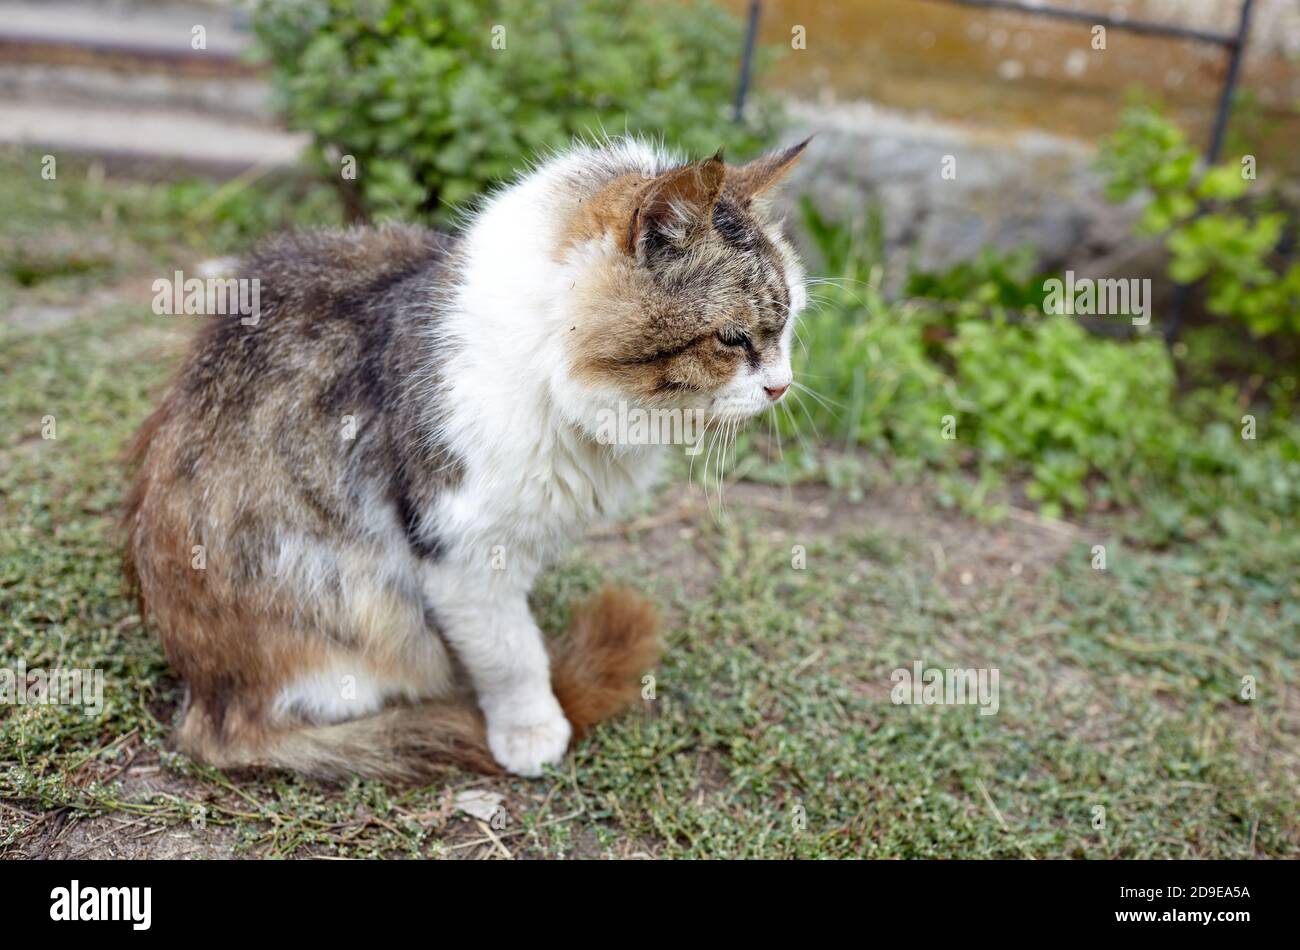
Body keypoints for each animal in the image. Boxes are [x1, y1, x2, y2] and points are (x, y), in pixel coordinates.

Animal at [124, 139, 811, 779]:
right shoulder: (462, 549)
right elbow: (512, 654)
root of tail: (207, 707)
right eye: (732, 338)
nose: (782, 386)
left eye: (788, 327)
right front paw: (531, 730)